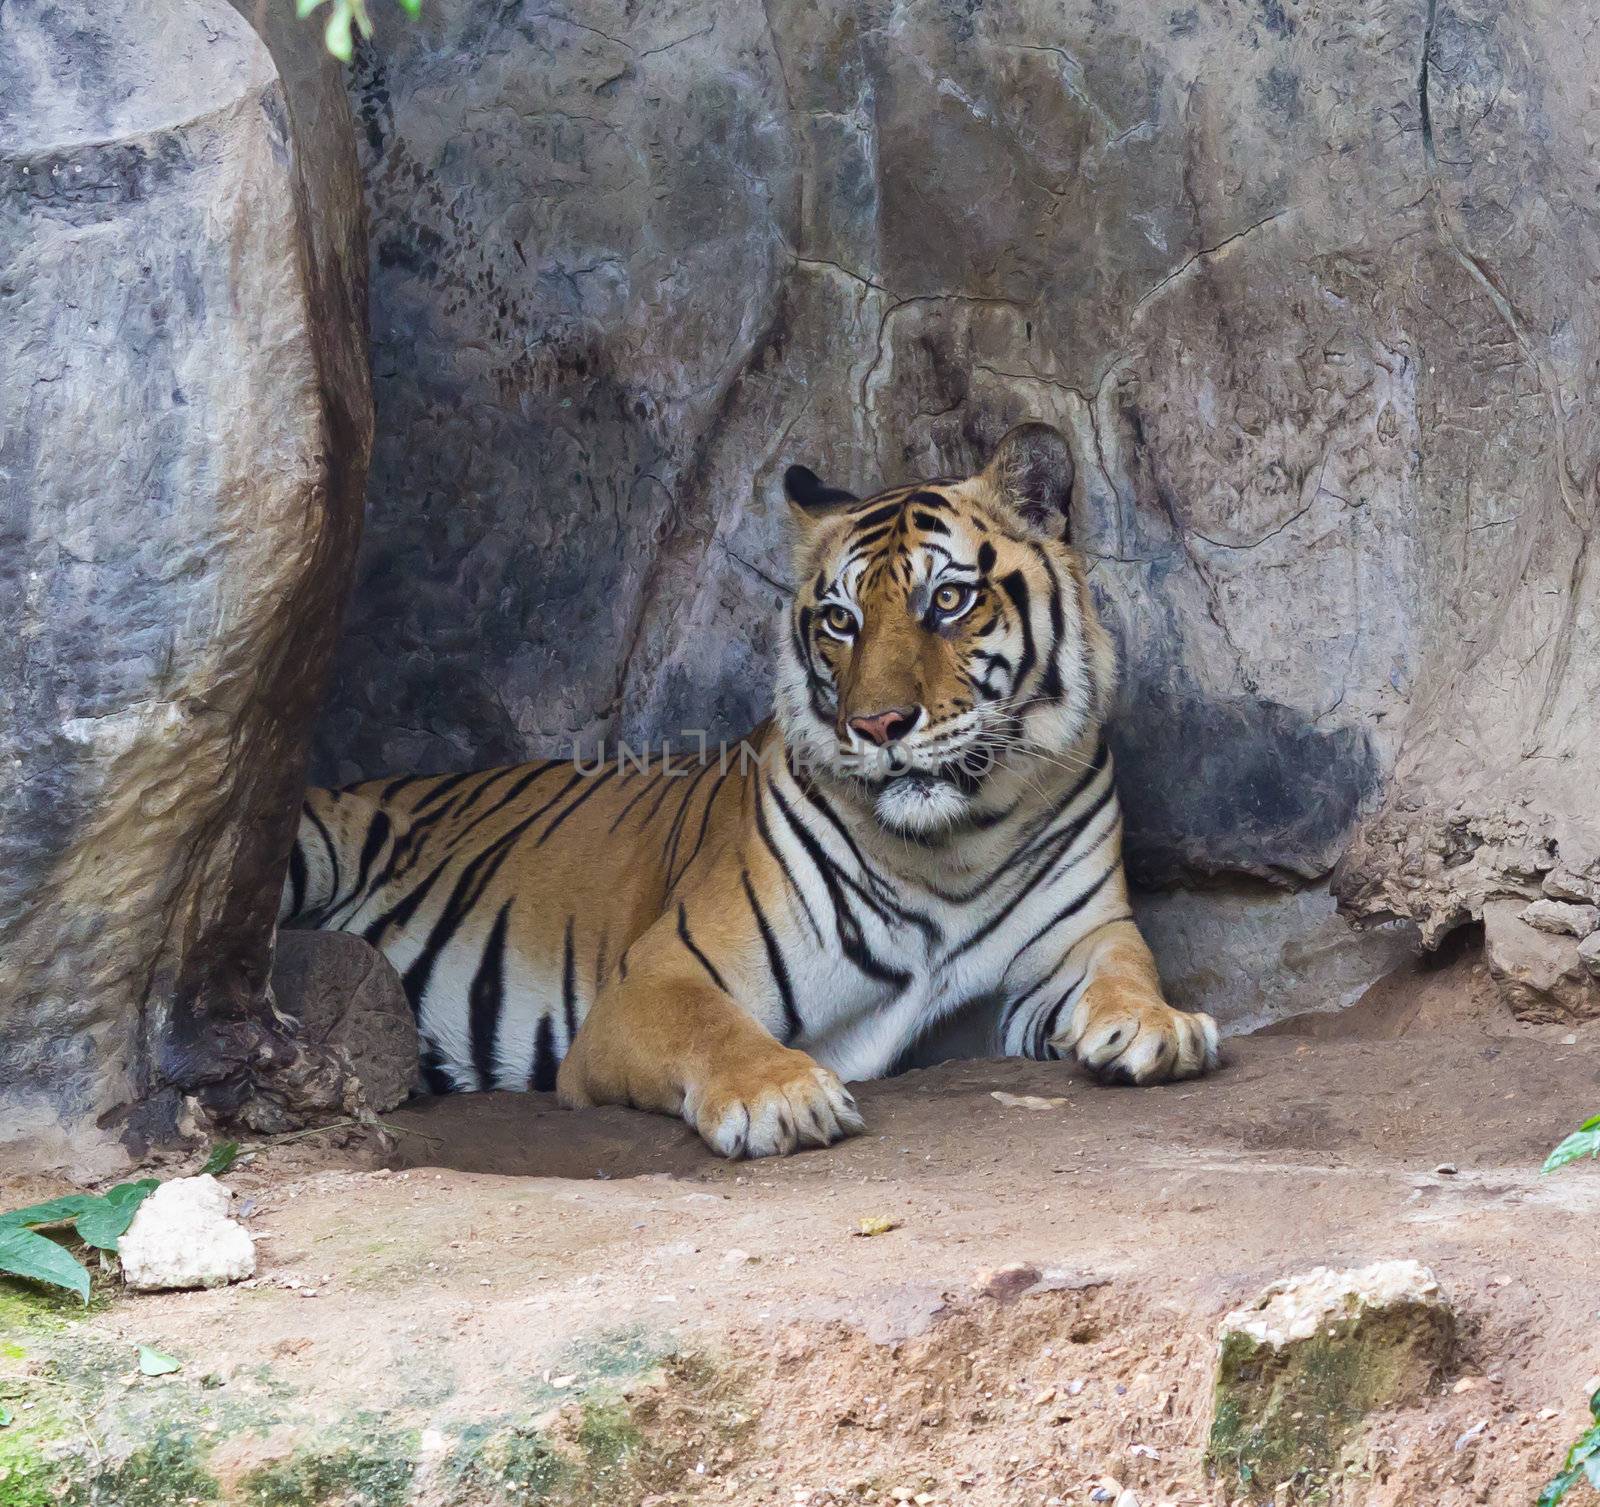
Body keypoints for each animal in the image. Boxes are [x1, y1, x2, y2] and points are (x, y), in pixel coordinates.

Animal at [281, 425, 1216, 1158]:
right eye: (840, 619)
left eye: (949, 598)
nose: (878, 724)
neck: (953, 844)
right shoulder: (656, 975)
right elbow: (715, 1027)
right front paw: (782, 1094)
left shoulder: (1074, 943)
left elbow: (1128, 968)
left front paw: (1157, 1024)